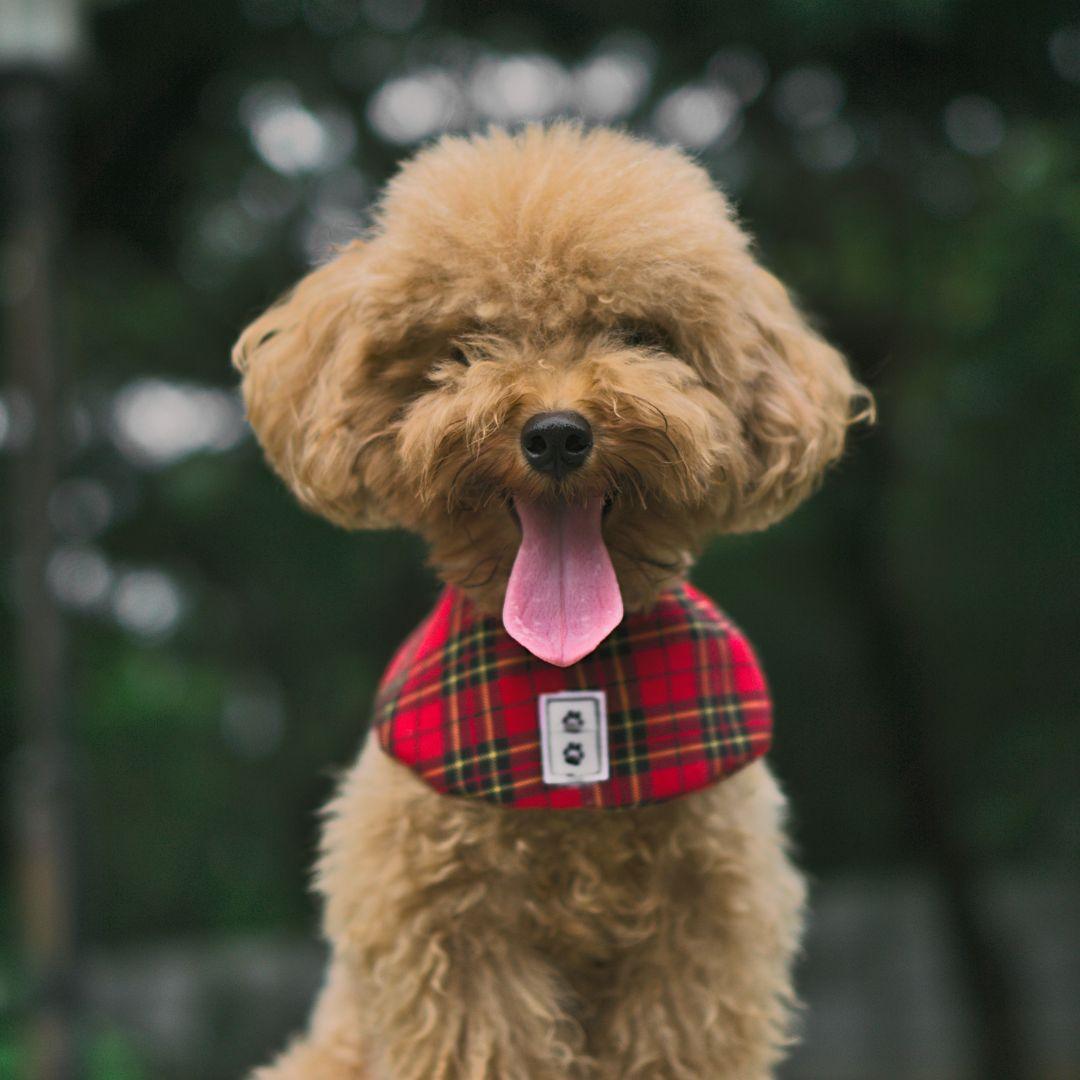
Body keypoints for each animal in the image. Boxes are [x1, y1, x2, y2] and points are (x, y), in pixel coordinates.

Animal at [234, 122, 868, 1075]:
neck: (572, 676)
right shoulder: (454, 940)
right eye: (469, 341)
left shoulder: (701, 941)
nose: (558, 434)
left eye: (640, 334)